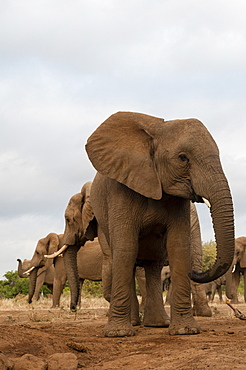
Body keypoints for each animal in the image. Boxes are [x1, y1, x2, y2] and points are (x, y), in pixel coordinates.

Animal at [85, 111, 235, 336]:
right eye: (183, 158)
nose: (195, 272)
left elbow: (179, 246)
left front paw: (185, 331)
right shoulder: (121, 189)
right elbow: (126, 247)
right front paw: (118, 334)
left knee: (153, 264)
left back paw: (157, 324)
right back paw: (135, 324)